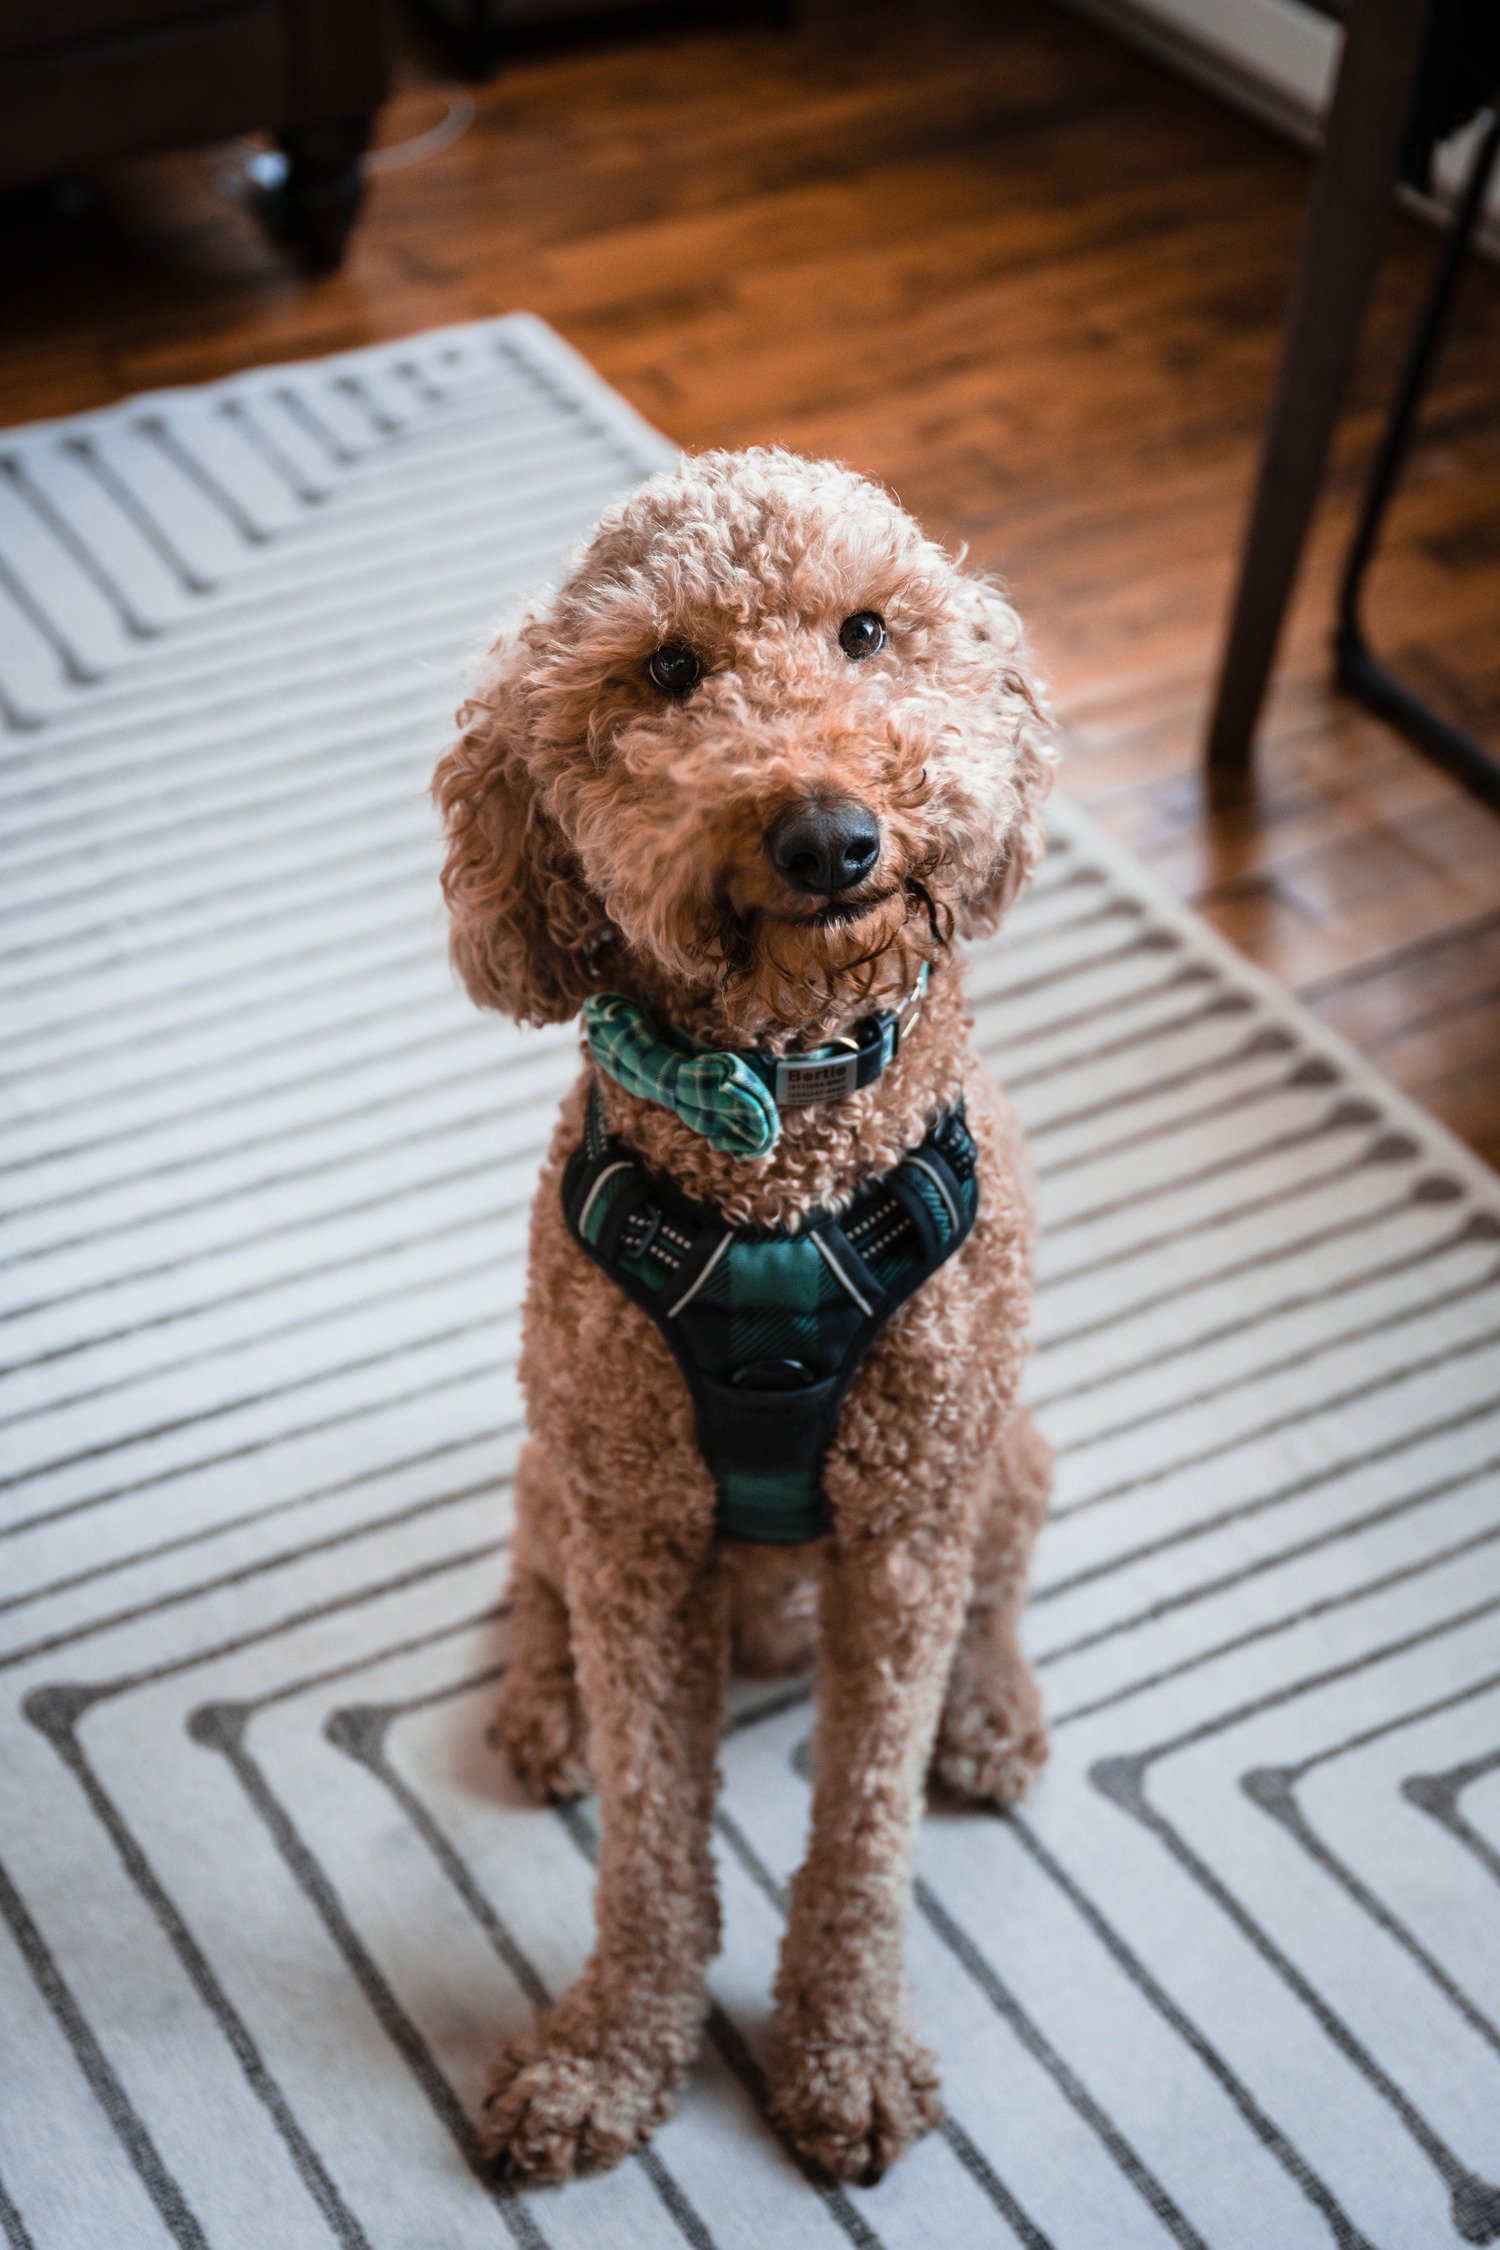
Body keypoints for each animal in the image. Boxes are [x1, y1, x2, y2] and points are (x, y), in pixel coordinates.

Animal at [434, 447, 1056, 2187]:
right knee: (533, 1582)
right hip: (555, 1457)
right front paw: (611, 2052)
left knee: (1002, 1588)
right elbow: (650, 1833)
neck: (784, 1128)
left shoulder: (907, 1528)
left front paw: (841, 2054)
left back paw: (993, 1713)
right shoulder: (638, 1523)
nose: (830, 835)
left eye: (868, 630)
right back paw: (545, 1709)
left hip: (1007, 1450)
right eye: (666, 670)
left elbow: (865, 1829)